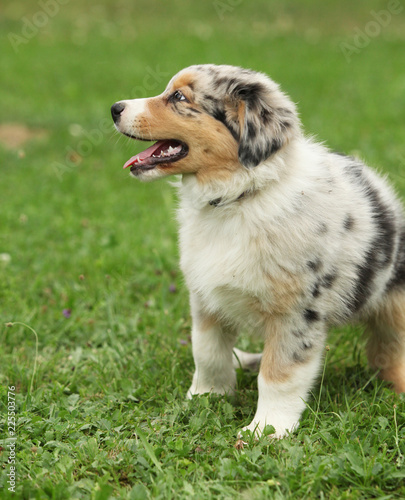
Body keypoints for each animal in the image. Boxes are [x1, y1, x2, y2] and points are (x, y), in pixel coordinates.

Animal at [112, 63, 404, 438]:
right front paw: (205, 398)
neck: (238, 198)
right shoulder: (205, 298)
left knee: (388, 353)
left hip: (395, 304)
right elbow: (207, 353)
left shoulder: (296, 312)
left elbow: (279, 375)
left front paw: (266, 431)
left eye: (178, 97)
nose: (115, 108)